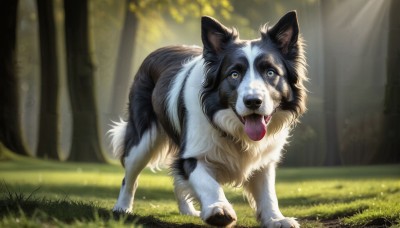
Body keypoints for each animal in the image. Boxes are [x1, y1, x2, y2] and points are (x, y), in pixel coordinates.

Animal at [109, 11, 306, 228]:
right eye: (234, 74)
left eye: (270, 72)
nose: (253, 101)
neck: (234, 130)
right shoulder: (193, 153)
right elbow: (207, 182)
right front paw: (219, 209)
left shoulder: (264, 160)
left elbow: (268, 192)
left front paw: (276, 218)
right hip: (142, 141)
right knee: (130, 177)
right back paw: (122, 208)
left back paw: (187, 210)